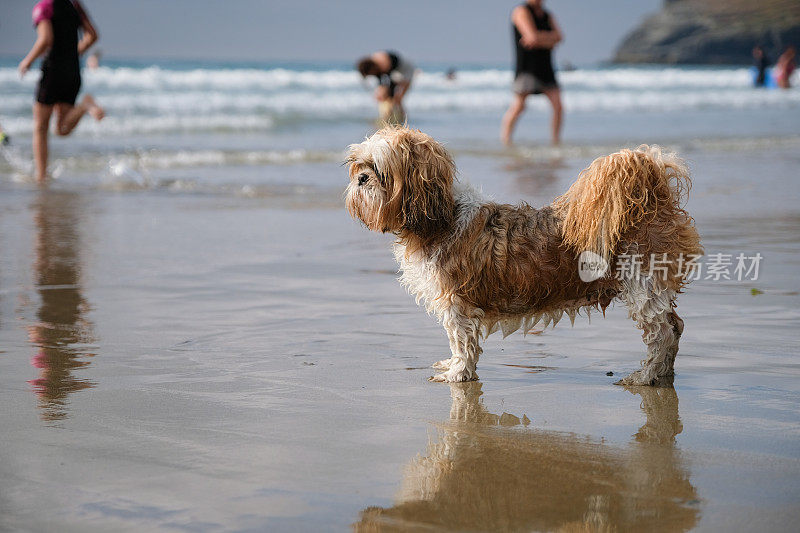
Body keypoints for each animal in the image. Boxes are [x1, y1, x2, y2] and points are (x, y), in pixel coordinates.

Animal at [344, 125, 700, 382]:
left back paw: (647, 375)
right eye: (358, 165)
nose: (362, 178)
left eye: (379, 169)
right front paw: (453, 366)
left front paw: (459, 374)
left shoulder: (458, 303)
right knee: (675, 326)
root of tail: (653, 197)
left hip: (642, 285)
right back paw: (662, 373)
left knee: (662, 334)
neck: (441, 217)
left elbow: (462, 341)